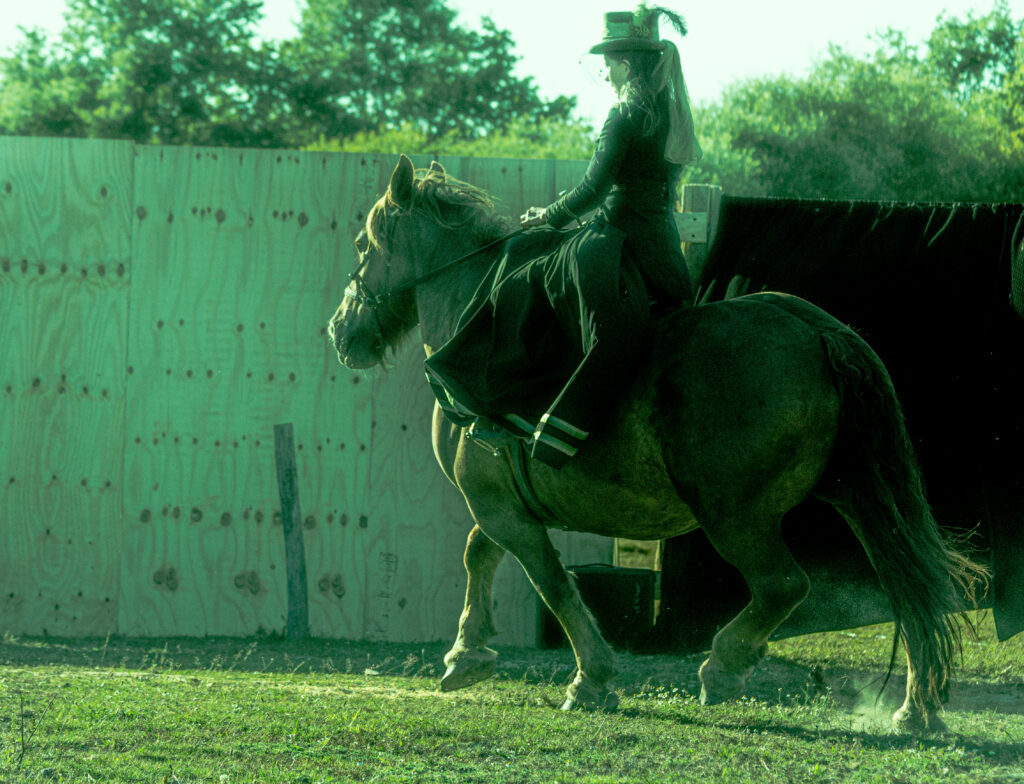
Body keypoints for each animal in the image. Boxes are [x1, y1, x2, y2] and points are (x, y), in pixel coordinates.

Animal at [328, 154, 987, 733]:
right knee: (912, 586)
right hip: (858, 500)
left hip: (734, 515)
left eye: (361, 246)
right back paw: (916, 710)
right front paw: (467, 655)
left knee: (784, 585)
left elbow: (551, 582)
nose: (340, 330)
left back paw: (724, 667)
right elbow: (479, 553)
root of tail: (814, 328)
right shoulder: (500, 503)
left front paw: (590, 680)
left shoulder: (499, 505)